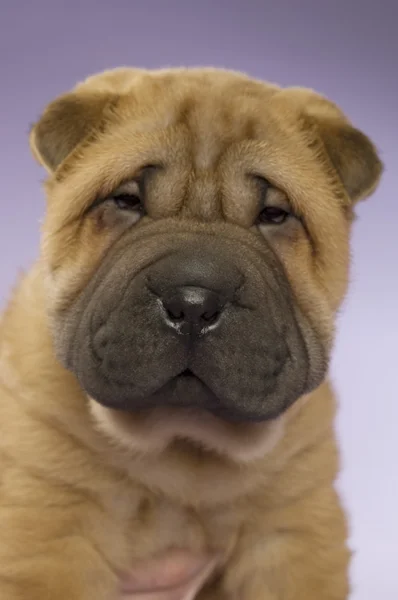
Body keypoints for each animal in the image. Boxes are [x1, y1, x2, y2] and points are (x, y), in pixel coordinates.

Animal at [0, 68, 382, 596]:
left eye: (274, 215)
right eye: (126, 201)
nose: (194, 303)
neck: (180, 444)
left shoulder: (293, 526)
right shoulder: (47, 524)